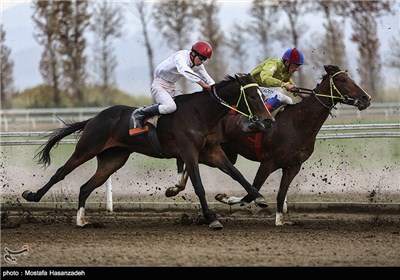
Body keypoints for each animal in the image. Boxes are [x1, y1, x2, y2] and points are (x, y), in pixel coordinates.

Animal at [21, 73, 276, 229]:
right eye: (252, 95)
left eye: (261, 94)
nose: (268, 121)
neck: (200, 114)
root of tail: (93, 118)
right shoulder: (189, 153)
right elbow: (199, 187)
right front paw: (211, 218)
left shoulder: (213, 152)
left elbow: (237, 174)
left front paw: (259, 198)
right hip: (86, 148)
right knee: (60, 173)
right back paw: (32, 196)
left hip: (113, 159)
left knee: (85, 187)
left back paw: (81, 221)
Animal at [166, 65, 372, 225]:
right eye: (343, 80)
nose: (366, 98)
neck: (298, 123)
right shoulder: (268, 162)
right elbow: (252, 191)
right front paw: (224, 197)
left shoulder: (293, 166)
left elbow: (280, 193)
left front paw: (280, 220)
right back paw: (175, 187)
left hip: (225, 151)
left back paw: (175, 187)